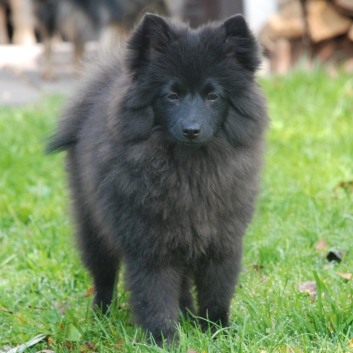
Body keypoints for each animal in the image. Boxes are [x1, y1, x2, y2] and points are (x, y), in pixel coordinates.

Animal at [46, 13, 266, 346]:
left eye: (213, 96)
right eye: (171, 96)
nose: (191, 129)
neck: (191, 172)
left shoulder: (221, 240)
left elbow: (216, 292)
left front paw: (216, 332)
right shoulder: (149, 244)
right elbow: (156, 296)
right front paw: (165, 340)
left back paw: (188, 316)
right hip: (93, 226)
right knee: (104, 276)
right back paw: (101, 316)